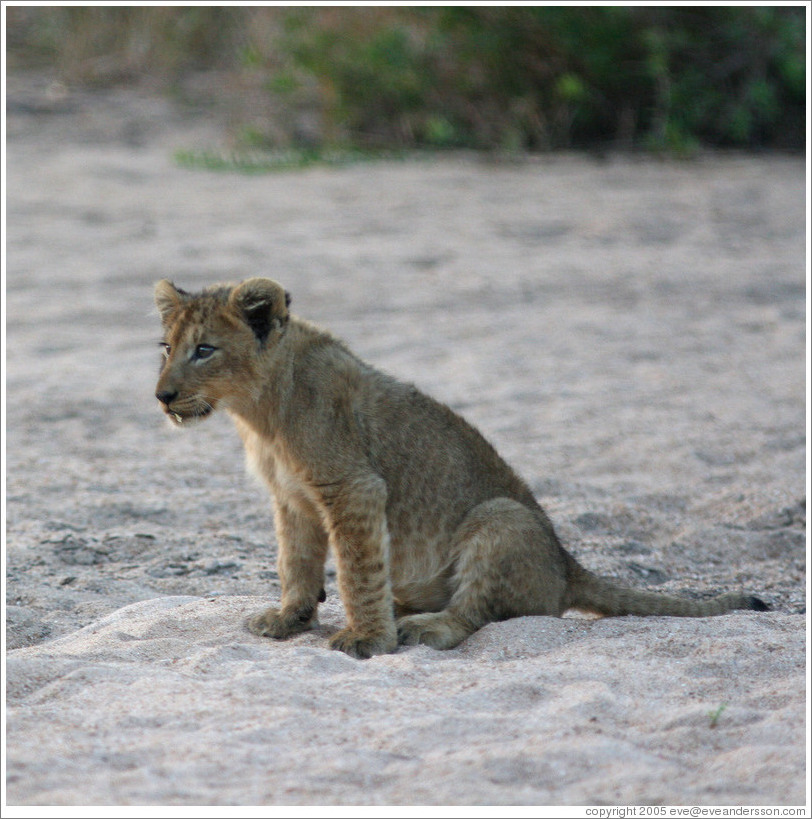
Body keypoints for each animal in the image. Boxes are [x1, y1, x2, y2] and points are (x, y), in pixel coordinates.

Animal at [154, 278, 768, 658]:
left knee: (472, 615)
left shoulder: (354, 487)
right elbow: (296, 564)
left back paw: (419, 624)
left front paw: (368, 639)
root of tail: (567, 565)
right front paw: (290, 619)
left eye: (205, 350)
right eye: (165, 346)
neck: (259, 412)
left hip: (501, 517)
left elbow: (356, 569)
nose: (162, 396)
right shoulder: (291, 499)